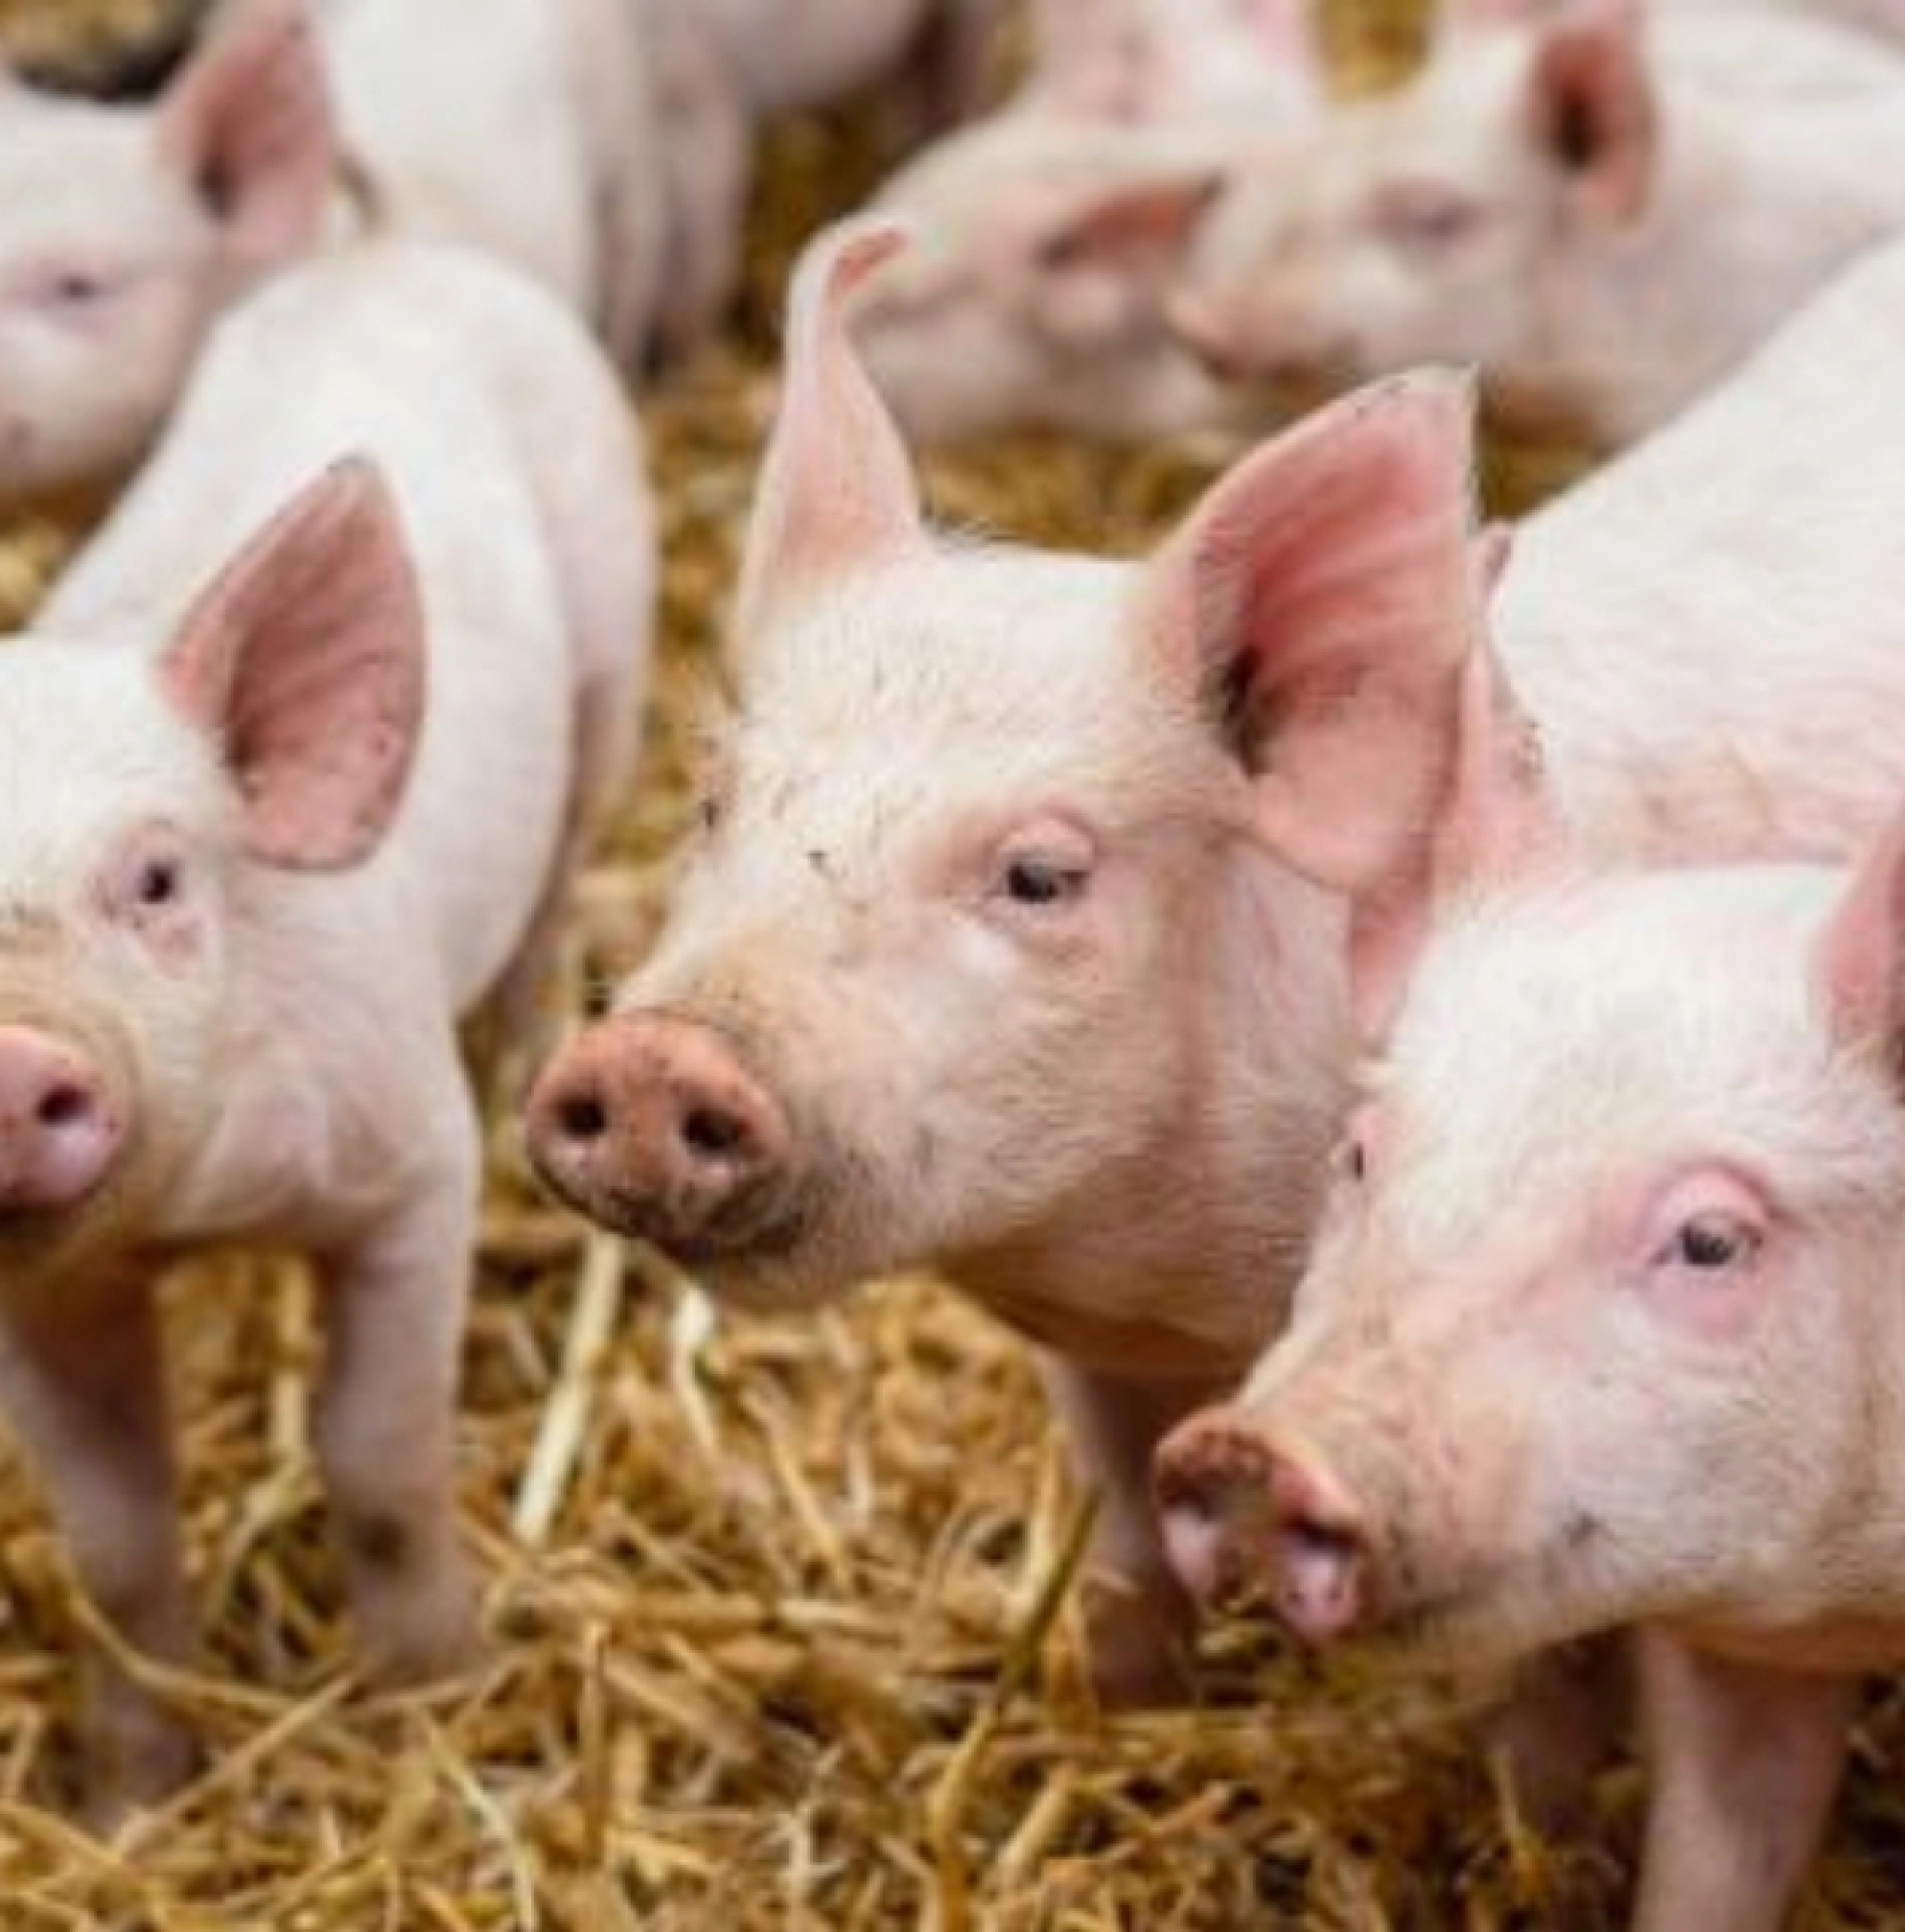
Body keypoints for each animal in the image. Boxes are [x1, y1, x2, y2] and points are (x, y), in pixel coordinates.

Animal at [0, 235, 652, 1813]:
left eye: (157, 879)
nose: (13, 1060)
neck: (189, 1210)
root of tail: (400, 253)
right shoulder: (37, 1298)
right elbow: (113, 1543)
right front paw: (131, 1804)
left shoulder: (407, 1161)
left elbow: (378, 1456)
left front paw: (438, 1696)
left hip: (614, 647)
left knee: (556, 884)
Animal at [523, 216, 1905, 1724]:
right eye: (713, 800)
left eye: (1039, 874)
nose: (653, 1058)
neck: (1164, 1267)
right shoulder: (1097, 1350)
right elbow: (1129, 1539)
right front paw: (1127, 1704)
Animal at [1152, 646, 1905, 1930]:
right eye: (1359, 1151)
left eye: (1710, 1239)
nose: (1249, 1450)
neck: (1865, 1596)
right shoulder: (1727, 1651)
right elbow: (1715, 1856)